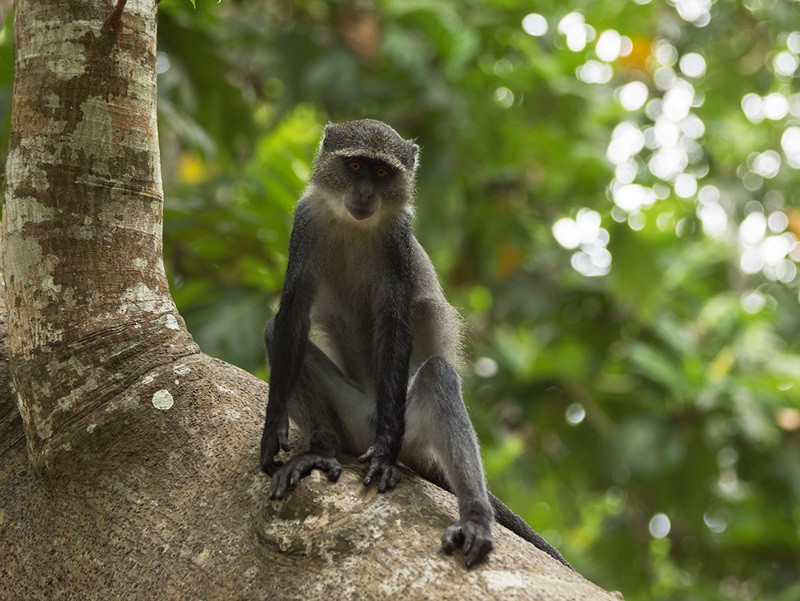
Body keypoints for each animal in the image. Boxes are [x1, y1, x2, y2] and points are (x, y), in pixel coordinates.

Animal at [258, 118, 568, 568]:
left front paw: (385, 453)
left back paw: (474, 516)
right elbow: (290, 319)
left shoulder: (397, 242)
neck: (355, 226)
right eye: (355, 166)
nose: (366, 194)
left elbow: (395, 325)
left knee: (437, 375)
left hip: (410, 428)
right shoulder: (306, 223)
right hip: (354, 421)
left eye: (383, 172)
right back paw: (322, 449)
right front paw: (272, 429)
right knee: (273, 334)